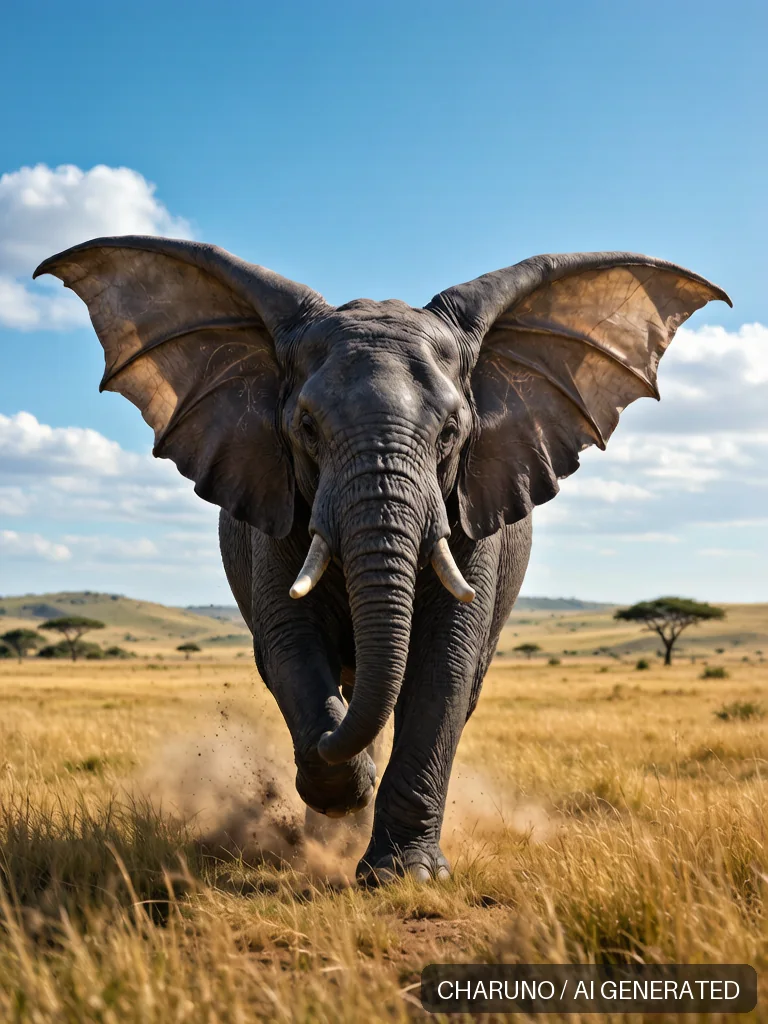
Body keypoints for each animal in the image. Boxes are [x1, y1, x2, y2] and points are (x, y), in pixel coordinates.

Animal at [35, 238, 730, 883]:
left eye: (451, 430)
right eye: (306, 427)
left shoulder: (471, 509)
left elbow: (446, 663)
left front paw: (406, 875)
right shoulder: (276, 504)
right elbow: (290, 644)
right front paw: (347, 789)